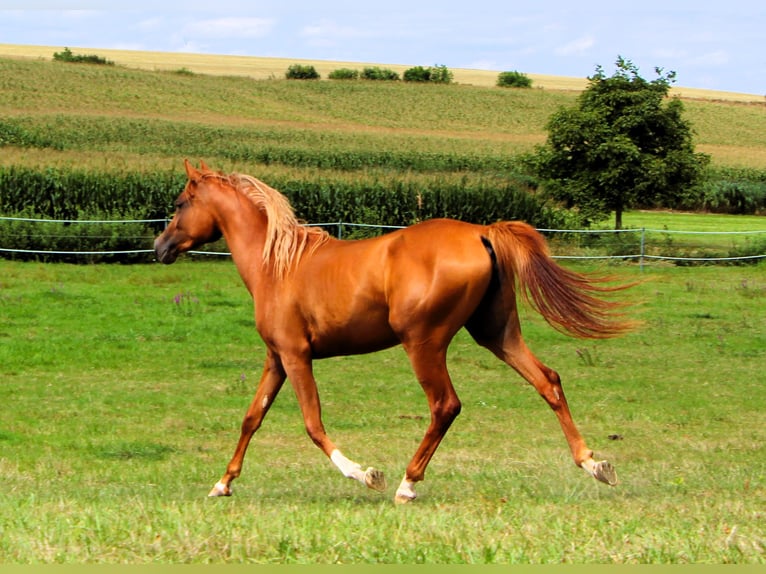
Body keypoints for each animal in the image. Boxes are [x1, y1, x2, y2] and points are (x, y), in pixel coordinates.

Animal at [154, 160, 635, 504]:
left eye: (179, 203)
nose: (160, 247)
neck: (278, 264)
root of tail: (482, 233)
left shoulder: (296, 355)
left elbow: (312, 423)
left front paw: (366, 474)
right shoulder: (276, 358)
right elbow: (252, 418)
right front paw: (223, 483)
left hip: (423, 343)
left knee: (445, 406)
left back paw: (407, 483)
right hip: (496, 333)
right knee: (547, 381)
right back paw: (594, 464)